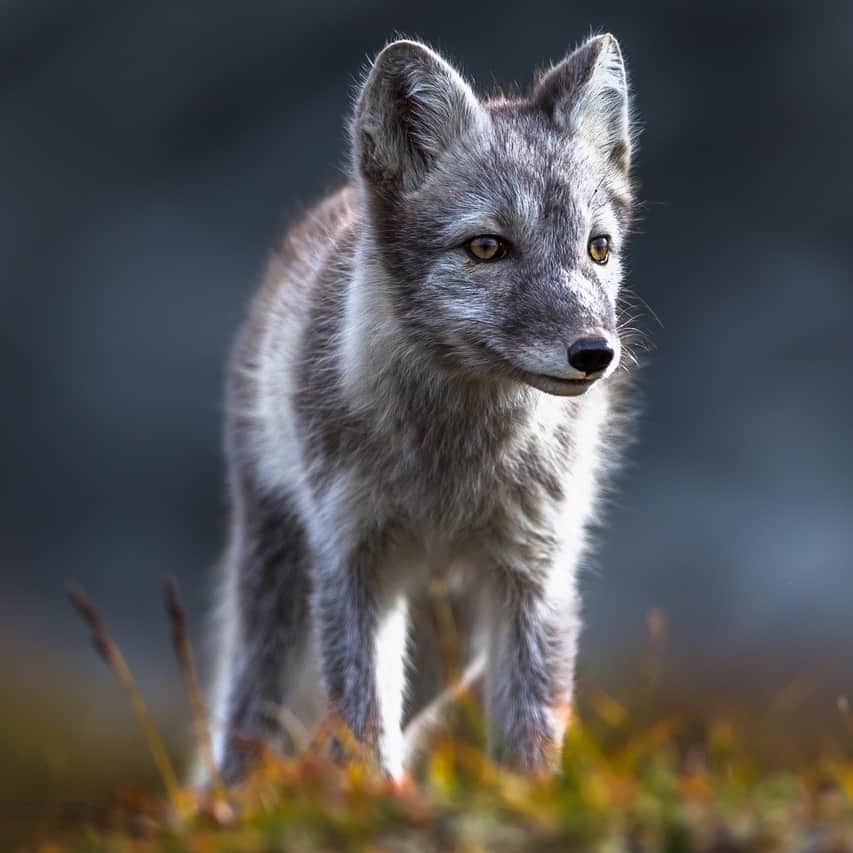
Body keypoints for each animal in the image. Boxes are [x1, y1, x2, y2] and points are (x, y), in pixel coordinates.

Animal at [205, 35, 632, 784]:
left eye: (597, 247)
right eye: (486, 246)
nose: (594, 353)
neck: (450, 468)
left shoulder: (536, 570)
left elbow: (530, 731)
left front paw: (528, 799)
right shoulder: (351, 560)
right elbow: (359, 721)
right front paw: (367, 798)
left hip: (453, 638)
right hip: (282, 577)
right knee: (251, 724)